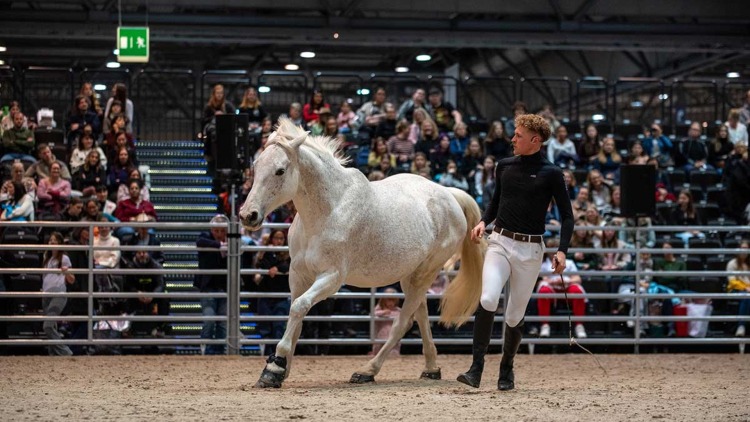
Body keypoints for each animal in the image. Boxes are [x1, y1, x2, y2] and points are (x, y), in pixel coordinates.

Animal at [239, 117, 485, 388]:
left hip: (425, 273)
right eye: (256, 166)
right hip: (410, 276)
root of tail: (449, 194)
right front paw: (280, 369)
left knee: (402, 322)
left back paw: (367, 370)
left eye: (280, 170)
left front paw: (274, 367)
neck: (328, 211)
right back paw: (431, 368)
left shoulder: (331, 278)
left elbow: (299, 307)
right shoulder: (298, 275)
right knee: (419, 315)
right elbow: (297, 315)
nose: (248, 215)